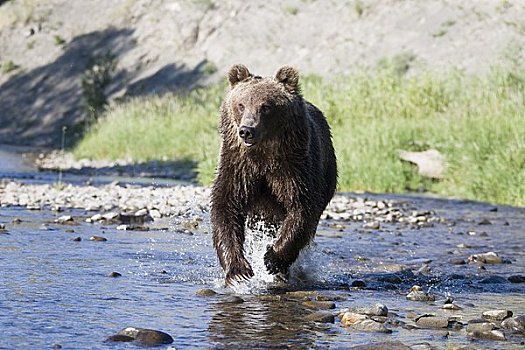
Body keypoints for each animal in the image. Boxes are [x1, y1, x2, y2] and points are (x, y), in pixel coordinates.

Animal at [209, 64, 336, 286]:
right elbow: (225, 206)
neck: (262, 155)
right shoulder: (237, 166)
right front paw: (238, 270)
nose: (246, 130)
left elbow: (300, 207)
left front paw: (272, 258)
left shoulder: (293, 166)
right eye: (241, 104)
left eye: (266, 107)